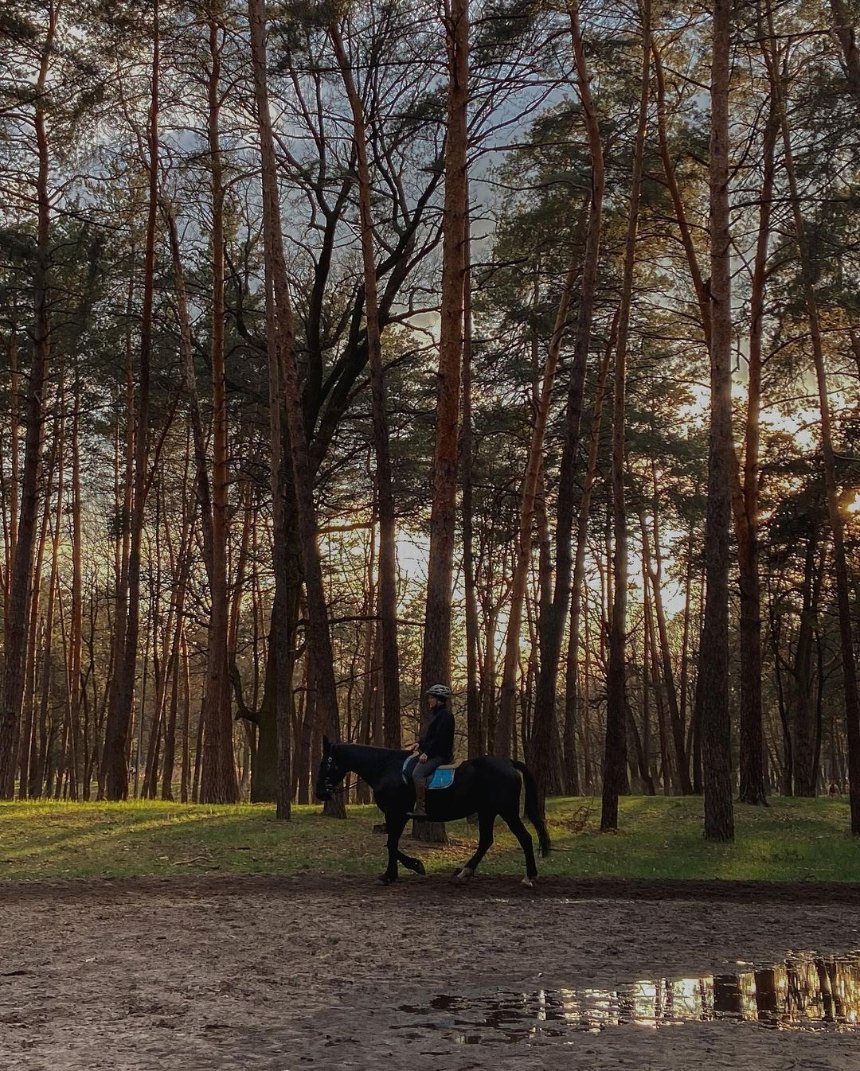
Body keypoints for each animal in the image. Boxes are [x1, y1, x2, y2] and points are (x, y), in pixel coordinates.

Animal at [317, 741, 552, 882]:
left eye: (325, 764)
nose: (320, 793)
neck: (385, 768)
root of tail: (510, 763)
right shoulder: (396, 815)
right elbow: (391, 843)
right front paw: (404, 869)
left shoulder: (396, 813)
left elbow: (391, 844)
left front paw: (398, 871)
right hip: (487, 811)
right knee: (486, 840)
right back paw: (465, 871)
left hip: (506, 811)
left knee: (525, 838)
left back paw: (530, 876)